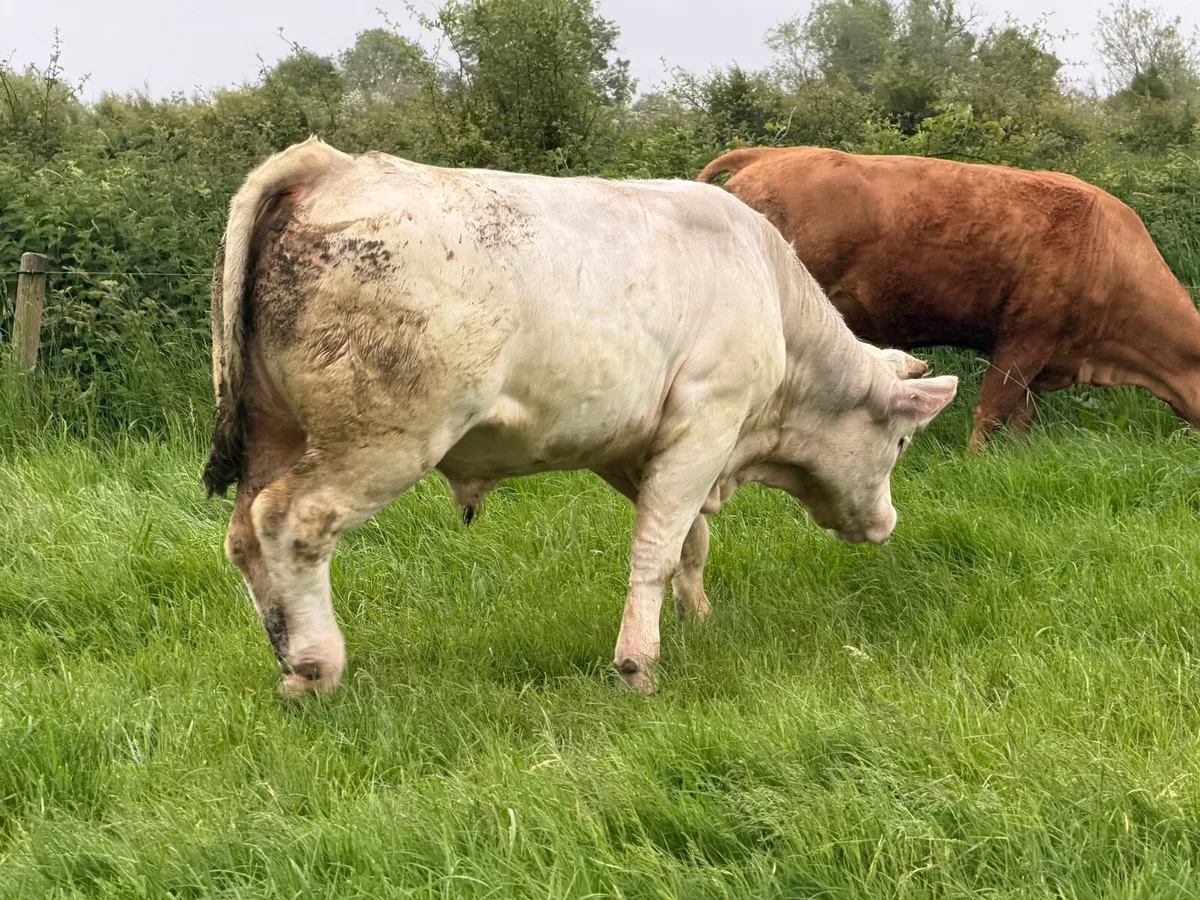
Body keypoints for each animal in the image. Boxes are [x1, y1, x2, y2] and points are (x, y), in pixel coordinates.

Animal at [204, 137, 957, 696]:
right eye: (899, 443)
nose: (885, 524)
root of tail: (329, 165)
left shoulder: (631, 448)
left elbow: (687, 540)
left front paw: (697, 619)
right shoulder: (708, 422)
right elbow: (656, 548)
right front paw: (638, 664)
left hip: (277, 431)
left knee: (243, 536)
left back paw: (287, 665)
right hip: (384, 436)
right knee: (293, 521)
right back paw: (316, 664)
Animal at [697, 146, 1200, 451]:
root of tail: (773, 153)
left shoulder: (1044, 357)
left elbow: (1021, 415)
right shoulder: (1023, 340)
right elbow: (991, 408)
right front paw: (975, 460)